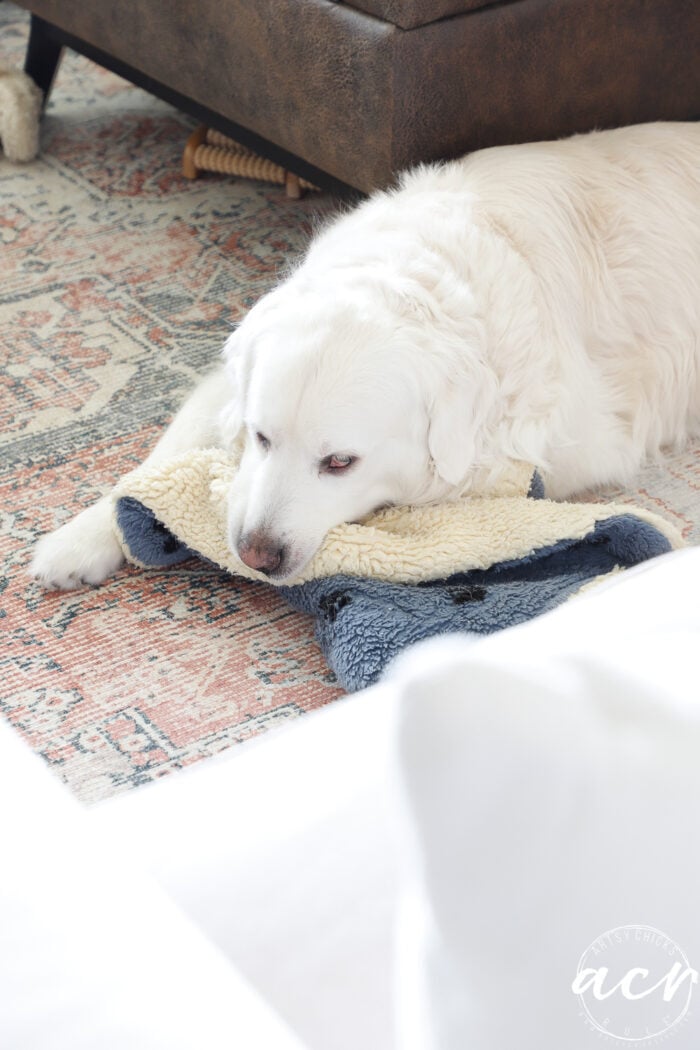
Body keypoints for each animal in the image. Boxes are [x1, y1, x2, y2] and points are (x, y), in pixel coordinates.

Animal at [30, 122, 700, 588]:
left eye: (340, 463)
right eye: (262, 438)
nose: (255, 555)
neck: (421, 277)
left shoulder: (566, 443)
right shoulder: (226, 383)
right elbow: (160, 456)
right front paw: (79, 539)